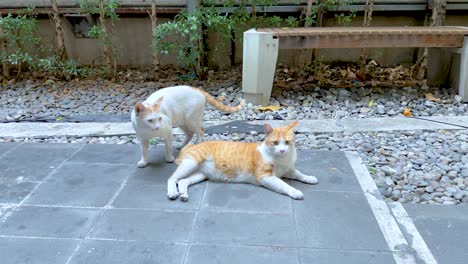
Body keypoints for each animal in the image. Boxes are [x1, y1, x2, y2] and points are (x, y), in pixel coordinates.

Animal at [165, 120, 318, 201]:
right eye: (275, 143)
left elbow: (299, 174)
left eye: (287, 142)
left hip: (200, 174)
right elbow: (283, 185)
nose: (282, 150)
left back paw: (183, 195)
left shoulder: (288, 170)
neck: (282, 159)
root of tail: (190, 145)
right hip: (190, 163)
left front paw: (309, 178)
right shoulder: (265, 176)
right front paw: (295, 192)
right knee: (172, 179)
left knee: (183, 181)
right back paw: (173, 193)